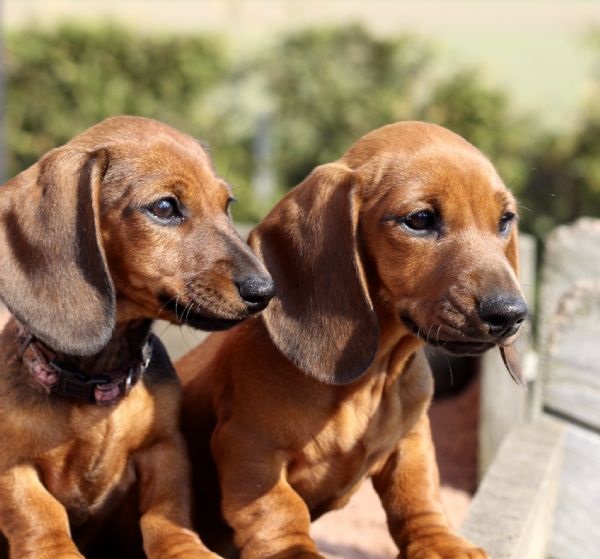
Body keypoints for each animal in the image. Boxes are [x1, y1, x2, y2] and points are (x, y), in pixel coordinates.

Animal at [0, 116, 274, 559]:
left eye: (227, 204)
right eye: (164, 208)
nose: (266, 291)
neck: (98, 379)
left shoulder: (164, 448)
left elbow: (168, 511)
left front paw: (186, 549)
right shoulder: (13, 465)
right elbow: (37, 515)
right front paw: (54, 549)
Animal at [177, 121, 527, 559]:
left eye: (505, 220)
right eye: (420, 219)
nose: (511, 313)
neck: (371, 379)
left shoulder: (411, 440)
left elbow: (418, 494)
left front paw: (440, 542)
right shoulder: (249, 448)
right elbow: (277, 509)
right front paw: (295, 551)